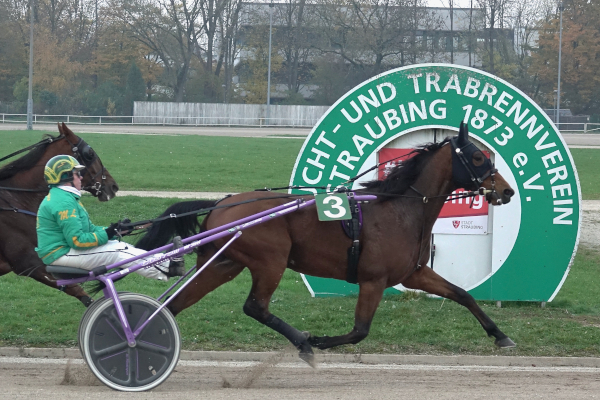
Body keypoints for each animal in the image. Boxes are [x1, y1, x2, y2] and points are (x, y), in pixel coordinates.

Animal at [137, 123, 516, 365]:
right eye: (479, 158)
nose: (507, 190)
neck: (401, 208)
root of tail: (220, 204)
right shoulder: (374, 280)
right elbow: (360, 331)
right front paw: (318, 340)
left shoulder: (414, 274)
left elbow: (463, 294)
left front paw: (501, 335)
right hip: (270, 261)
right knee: (255, 306)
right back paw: (303, 342)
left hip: (222, 264)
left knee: (175, 304)